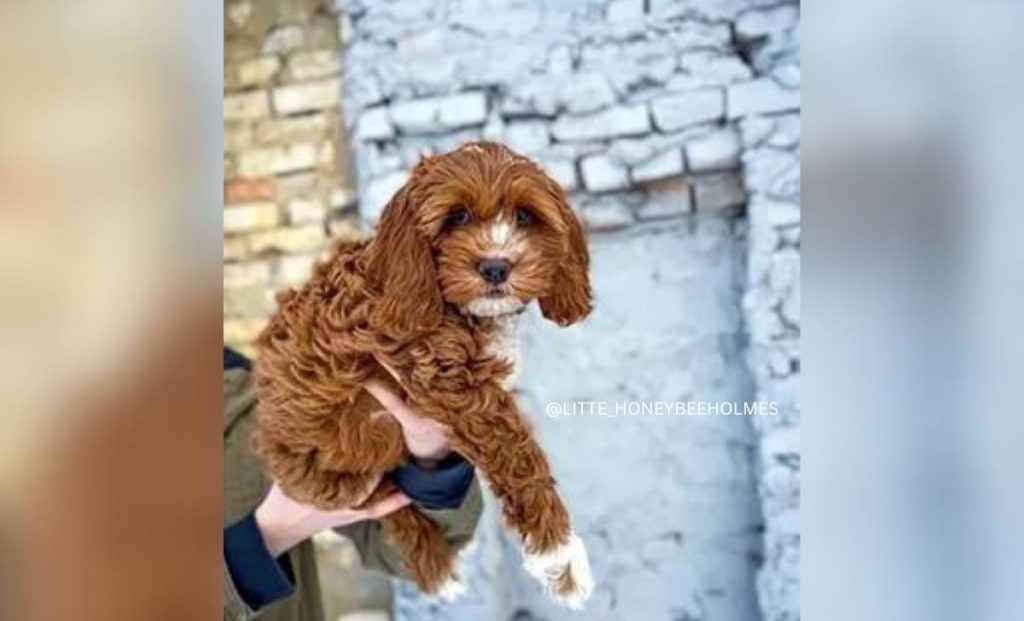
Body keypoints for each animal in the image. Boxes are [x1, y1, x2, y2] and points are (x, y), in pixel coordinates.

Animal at [251, 140, 598, 606]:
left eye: (525, 216)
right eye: (457, 217)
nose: (495, 267)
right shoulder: (440, 372)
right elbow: (516, 450)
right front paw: (559, 556)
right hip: (334, 476)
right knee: (390, 506)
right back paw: (439, 568)